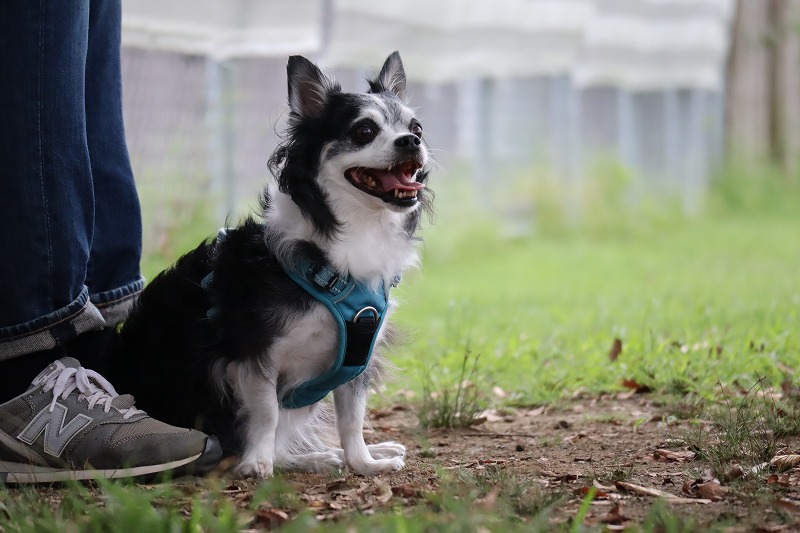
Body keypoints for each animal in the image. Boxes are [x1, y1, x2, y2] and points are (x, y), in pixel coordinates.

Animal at [107, 52, 431, 478]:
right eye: (363, 131)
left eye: (416, 127)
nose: (412, 141)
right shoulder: (253, 354)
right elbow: (266, 414)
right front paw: (256, 464)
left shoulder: (356, 358)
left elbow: (352, 419)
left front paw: (364, 463)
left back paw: (323, 456)